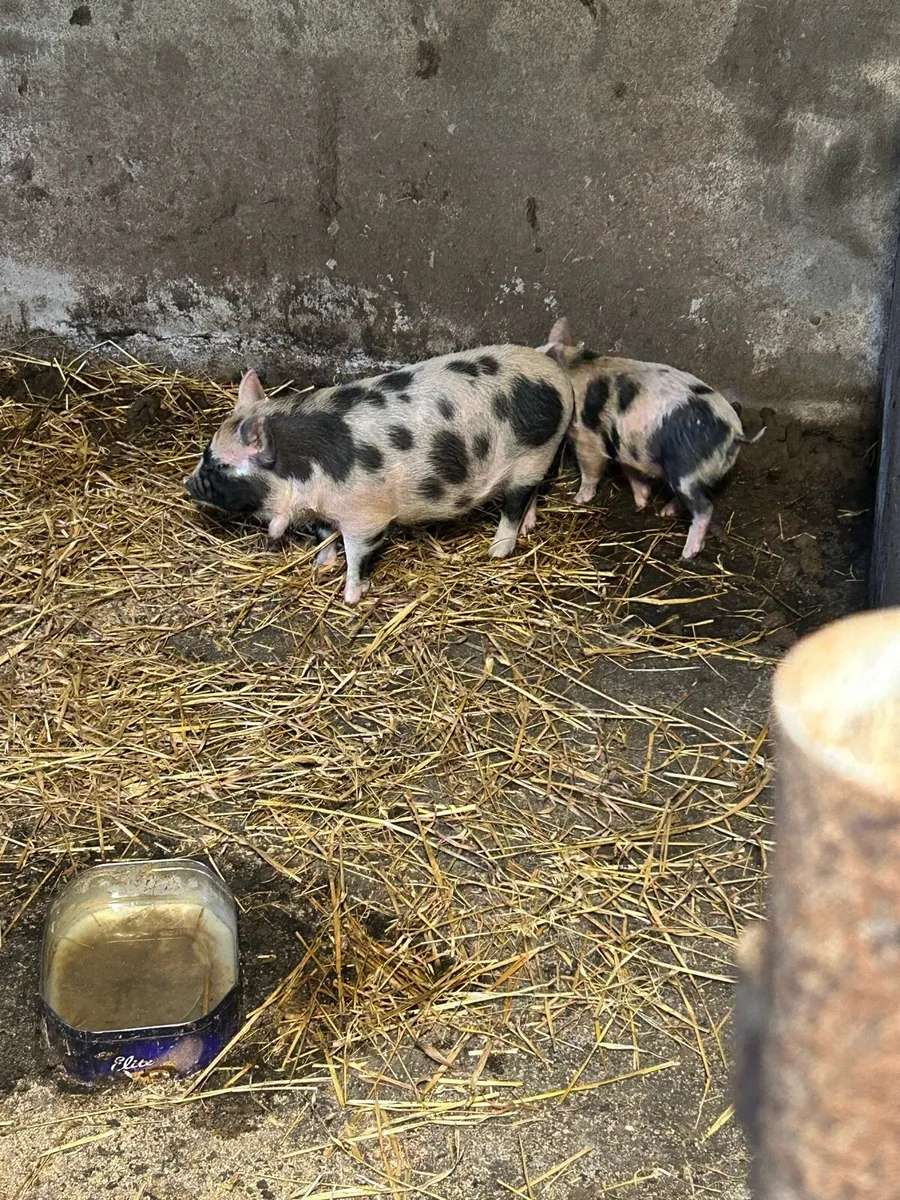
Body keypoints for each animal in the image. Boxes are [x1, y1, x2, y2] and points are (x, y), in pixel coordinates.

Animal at [185, 347, 574, 604]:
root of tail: (553, 371)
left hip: (534, 455)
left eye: (222, 465)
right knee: (531, 494)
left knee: (515, 503)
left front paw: (351, 598)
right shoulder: (324, 506)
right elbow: (324, 535)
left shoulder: (365, 516)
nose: (188, 483)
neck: (303, 469)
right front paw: (320, 566)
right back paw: (528, 527)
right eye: (207, 453)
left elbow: (357, 553)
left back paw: (498, 551)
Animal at [537, 318, 764, 559]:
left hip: (685, 471)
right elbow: (633, 474)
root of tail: (734, 433)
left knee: (704, 507)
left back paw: (687, 553)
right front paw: (641, 502)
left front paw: (579, 499)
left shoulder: (589, 438)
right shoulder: (626, 446)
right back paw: (665, 512)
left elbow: (590, 471)